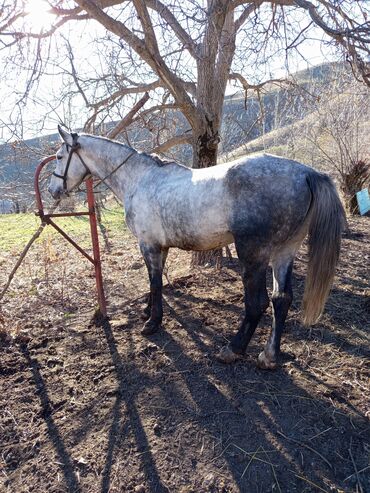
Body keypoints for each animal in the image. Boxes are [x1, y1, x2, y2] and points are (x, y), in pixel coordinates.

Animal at [47, 127, 346, 368]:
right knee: (281, 299)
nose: (52, 191)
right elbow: (156, 282)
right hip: (284, 252)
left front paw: (152, 322)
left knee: (257, 303)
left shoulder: (148, 245)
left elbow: (154, 281)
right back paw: (269, 356)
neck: (140, 179)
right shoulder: (160, 247)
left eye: (60, 156)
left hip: (253, 254)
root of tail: (306, 173)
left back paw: (233, 349)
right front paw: (148, 310)